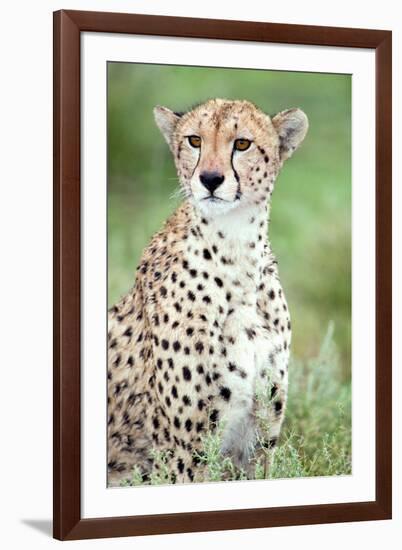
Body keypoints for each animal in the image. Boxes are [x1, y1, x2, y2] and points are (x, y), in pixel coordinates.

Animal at [107, 99, 308, 488]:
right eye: (194, 140)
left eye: (242, 144)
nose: (211, 179)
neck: (235, 252)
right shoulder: (186, 452)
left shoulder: (258, 438)